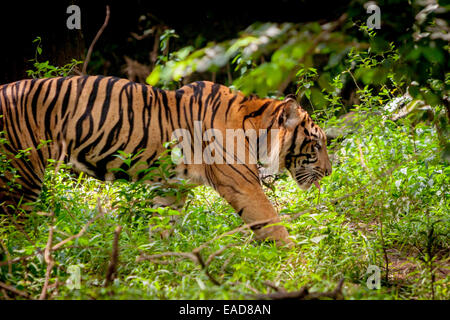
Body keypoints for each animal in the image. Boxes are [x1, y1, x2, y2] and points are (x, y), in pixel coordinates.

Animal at [0, 75, 330, 245]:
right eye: (317, 144)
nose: (328, 172)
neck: (256, 128)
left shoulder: (172, 189)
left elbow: (160, 225)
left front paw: (157, 262)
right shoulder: (242, 184)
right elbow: (272, 223)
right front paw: (295, 263)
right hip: (22, 173)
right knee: (13, 225)